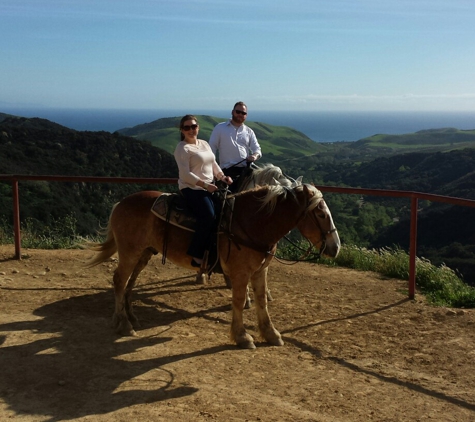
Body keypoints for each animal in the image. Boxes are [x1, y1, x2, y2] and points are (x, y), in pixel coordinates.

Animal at [85, 182, 338, 350]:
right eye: (321, 214)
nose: (335, 247)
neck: (252, 222)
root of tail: (121, 202)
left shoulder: (260, 271)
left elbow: (262, 301)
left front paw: (270, 334)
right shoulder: (240, 273)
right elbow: (238, 301)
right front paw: (242, 336)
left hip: (144, 253)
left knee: (130, 282)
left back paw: (130, 316)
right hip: (129, 252)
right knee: (120, 281)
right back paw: (124, 324)